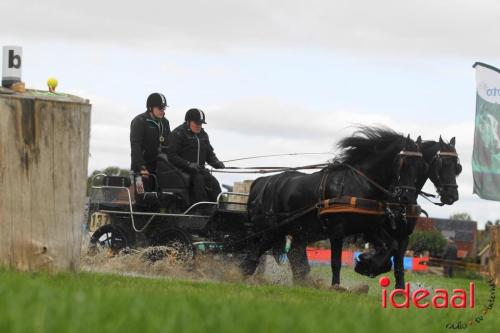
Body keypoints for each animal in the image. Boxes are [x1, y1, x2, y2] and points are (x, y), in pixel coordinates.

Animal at [246, 126, 426, 284]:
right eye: (404, 163)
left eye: (421, 167)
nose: (407, 197)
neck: (360, 184)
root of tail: (262, 181)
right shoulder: (337, 230)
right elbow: (336, 262)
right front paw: (337, 285)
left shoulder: (370, 227)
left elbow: (391, 247)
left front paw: (368, 265)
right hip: (271, 229)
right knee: (254, 252)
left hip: (297, 231)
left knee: (294, 257)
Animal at [288, 135, 462, 288]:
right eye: (442, 164)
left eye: (457, 167)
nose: (452, 196)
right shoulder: (371, 230)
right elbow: (389, 252)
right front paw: (368, 264)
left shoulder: (403, 236)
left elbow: (398, 265)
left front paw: (399, 289)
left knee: (295, 252)